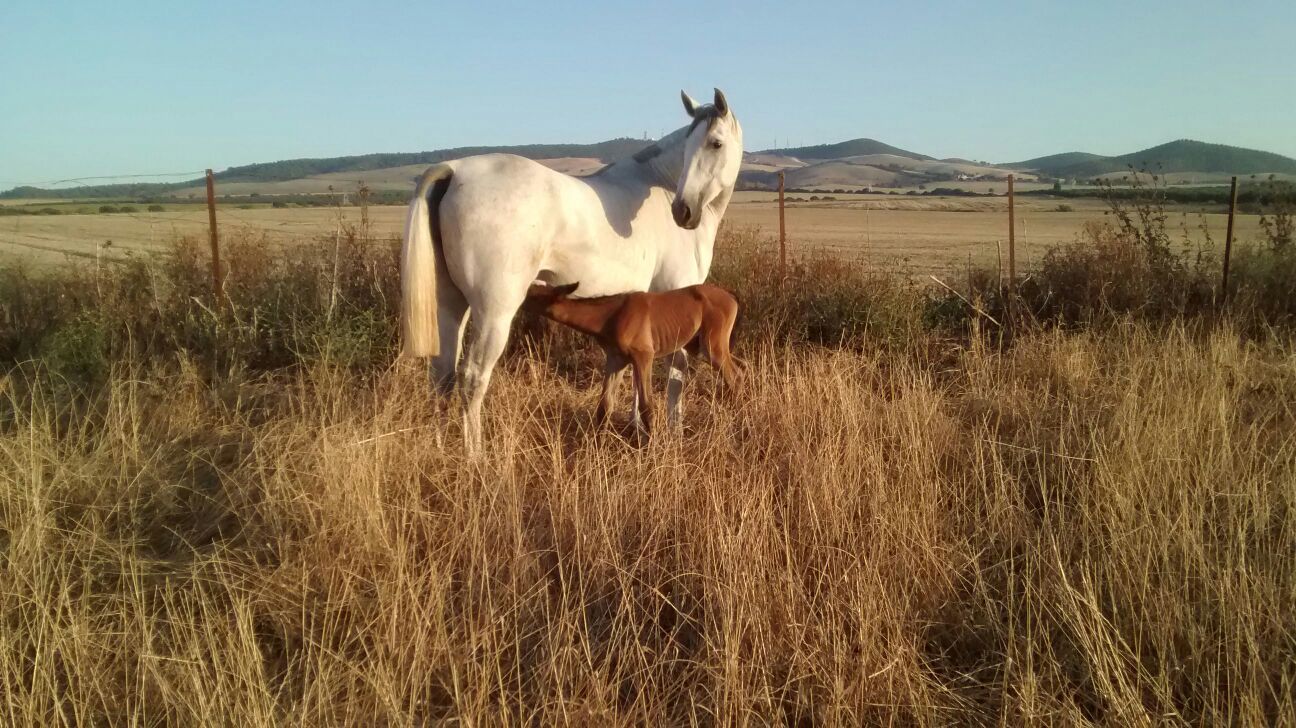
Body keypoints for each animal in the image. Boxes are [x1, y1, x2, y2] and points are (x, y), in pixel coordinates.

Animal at [523, 281, 746, 432]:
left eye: (531, 295)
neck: (611, 316)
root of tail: (731, 296)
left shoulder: (644, 356)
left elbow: (647, 407)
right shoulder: (616, 360)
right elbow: (604, 407)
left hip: (712, 347)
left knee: (734, 377)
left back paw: (738, 421)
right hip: (699, 346)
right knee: (742, 367)